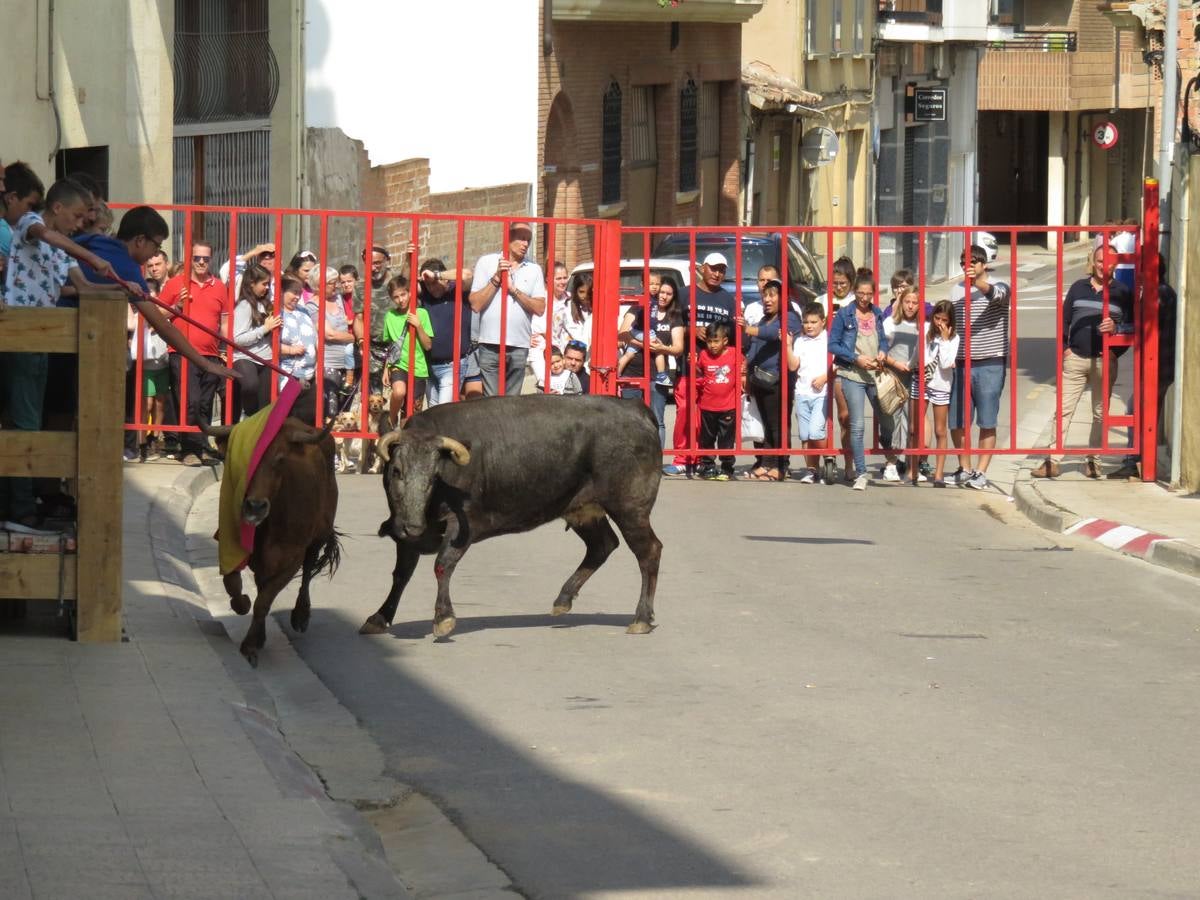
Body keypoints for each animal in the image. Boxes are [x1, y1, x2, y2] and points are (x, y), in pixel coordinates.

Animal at [206, 420, 343, 667]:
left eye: (279, 460)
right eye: (242, 457)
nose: (255, 507)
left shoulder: (291, 559)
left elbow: (264, 601)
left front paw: (249, 646)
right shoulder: (230, 546)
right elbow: (235, 585)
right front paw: (243, 607)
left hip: (318, 535)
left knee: (308, 568)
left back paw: (301, 615)